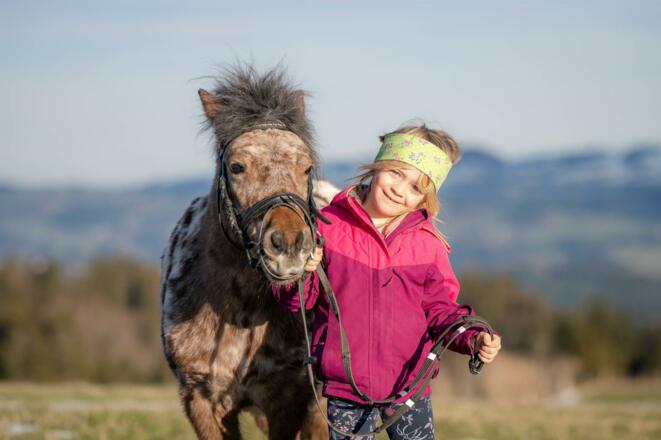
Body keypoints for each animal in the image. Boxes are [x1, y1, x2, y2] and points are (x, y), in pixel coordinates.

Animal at [160, 65, 335, 439]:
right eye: (237, 167)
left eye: (306, 166)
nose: (289, 245)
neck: (239, 311)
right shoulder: (200, 400)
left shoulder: (289, 399)